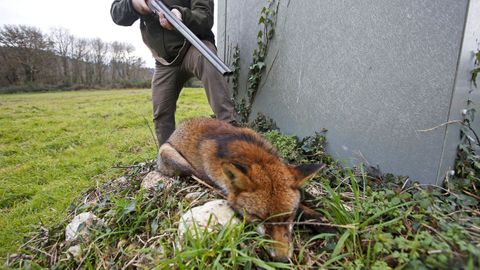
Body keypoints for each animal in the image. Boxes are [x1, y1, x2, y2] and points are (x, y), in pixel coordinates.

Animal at [157, 117, 322, 260]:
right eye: (258, 218)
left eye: (288, 217)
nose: (281, 259)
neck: (256, 157)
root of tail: (181, 125)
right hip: (178, 161)